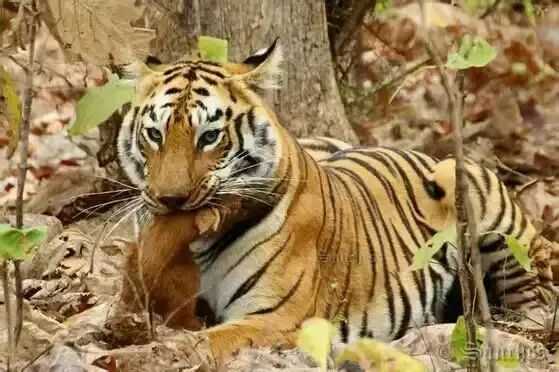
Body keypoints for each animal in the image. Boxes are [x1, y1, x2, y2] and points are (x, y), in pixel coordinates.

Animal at [116, 40, 556, 364]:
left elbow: (203, 341)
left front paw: (146, 355)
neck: (200, 242)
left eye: (209, 137)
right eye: (155, 134)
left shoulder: (276, 317)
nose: (171, 200)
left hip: (476, 199)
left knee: (535, 301)